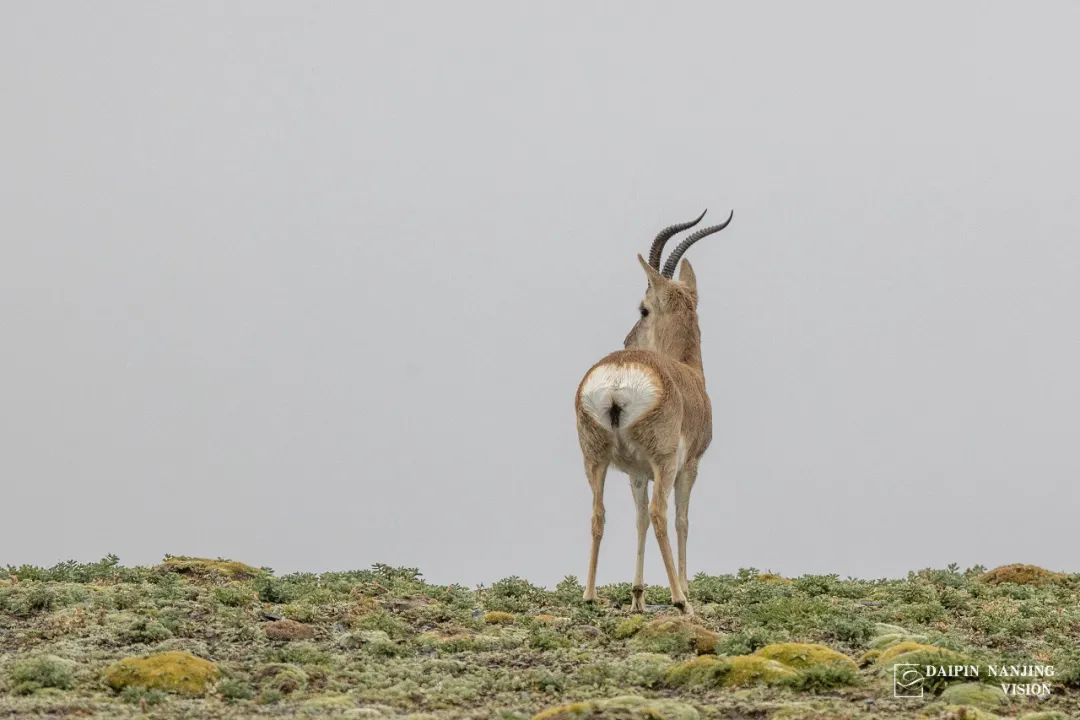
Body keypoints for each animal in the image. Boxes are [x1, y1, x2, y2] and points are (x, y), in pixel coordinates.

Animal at [574, 208, 734, 613]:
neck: (689, 373)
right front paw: (685, 589)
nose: (628, 339)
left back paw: (589, 594)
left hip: (595, 459)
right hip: (663, 462)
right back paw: (679, 600)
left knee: (599, 515)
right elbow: (681, 520)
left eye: (643, 309)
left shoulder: (635, 472)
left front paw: (637, 597)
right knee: (662, 515)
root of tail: (619, 375)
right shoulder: (688, 466)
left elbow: (639, 520)